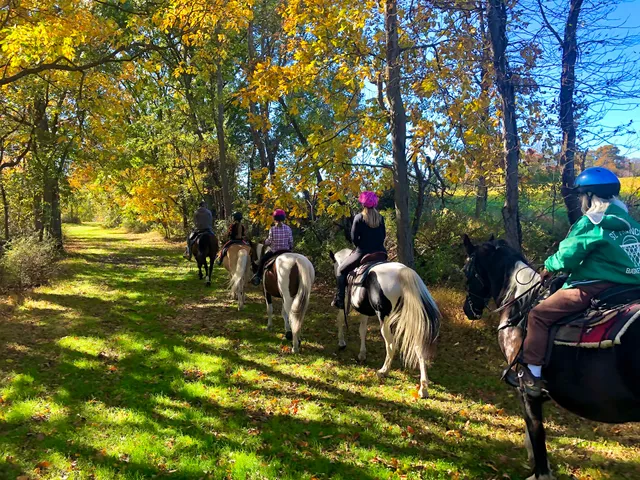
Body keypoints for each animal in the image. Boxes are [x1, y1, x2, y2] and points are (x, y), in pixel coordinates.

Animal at [330, 248, 441, 399]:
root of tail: (402, 272)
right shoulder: (364, 309)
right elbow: (362, 330)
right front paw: (362, 354)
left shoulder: (346, 302)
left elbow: (341, 320)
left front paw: (342, 342)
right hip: (412, 320)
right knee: (419, 348)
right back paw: (423, 389)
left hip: (384, 320)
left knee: (391, 345)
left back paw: (383, 371)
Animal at [462, 234, 640, 480]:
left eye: (466, 271)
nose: (468, 310)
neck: (521, 306)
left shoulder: (526, 390)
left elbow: (537, 433)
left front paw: (540, 472)